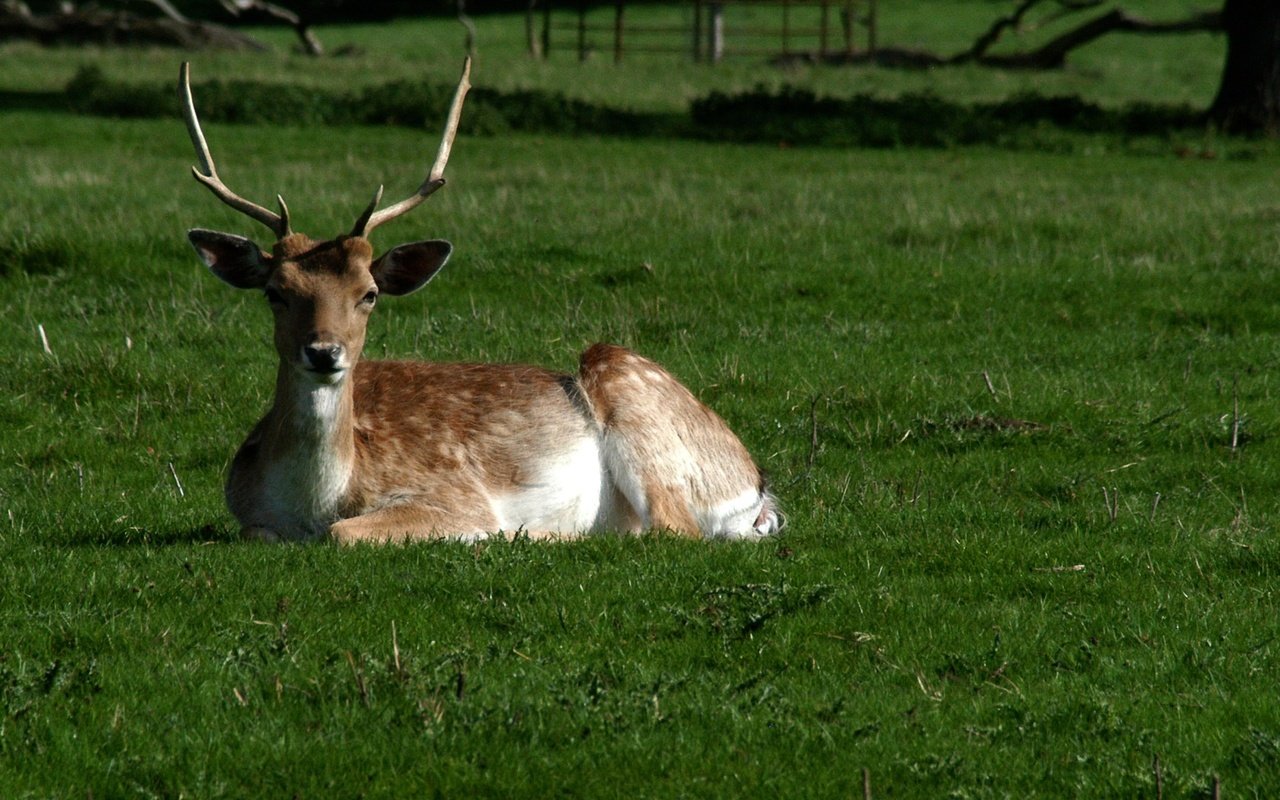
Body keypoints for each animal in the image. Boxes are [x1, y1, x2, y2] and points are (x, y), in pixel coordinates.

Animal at [179, 60, 778, 542]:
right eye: (275, 293)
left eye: (369, 294)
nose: (324, 352)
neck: (313, 504)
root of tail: (759, 488)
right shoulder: (249, 518)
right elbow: (256, 533)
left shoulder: (451, 492)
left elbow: (345, 533)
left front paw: (492, 533)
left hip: (630, 394)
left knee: (671, 529)